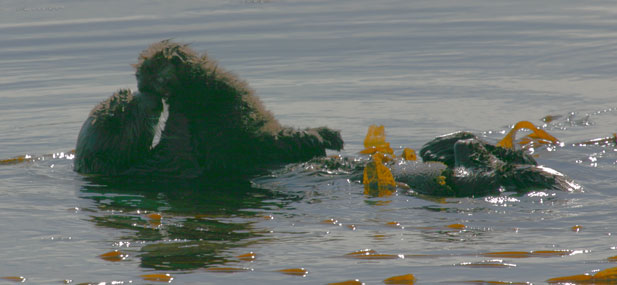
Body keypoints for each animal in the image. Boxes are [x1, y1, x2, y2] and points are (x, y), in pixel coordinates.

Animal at [74, 40, 344, 176]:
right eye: (118, 117)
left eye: (125, 96)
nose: (145, 91)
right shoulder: (178, 157)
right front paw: (170, 62)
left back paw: (330, 136)